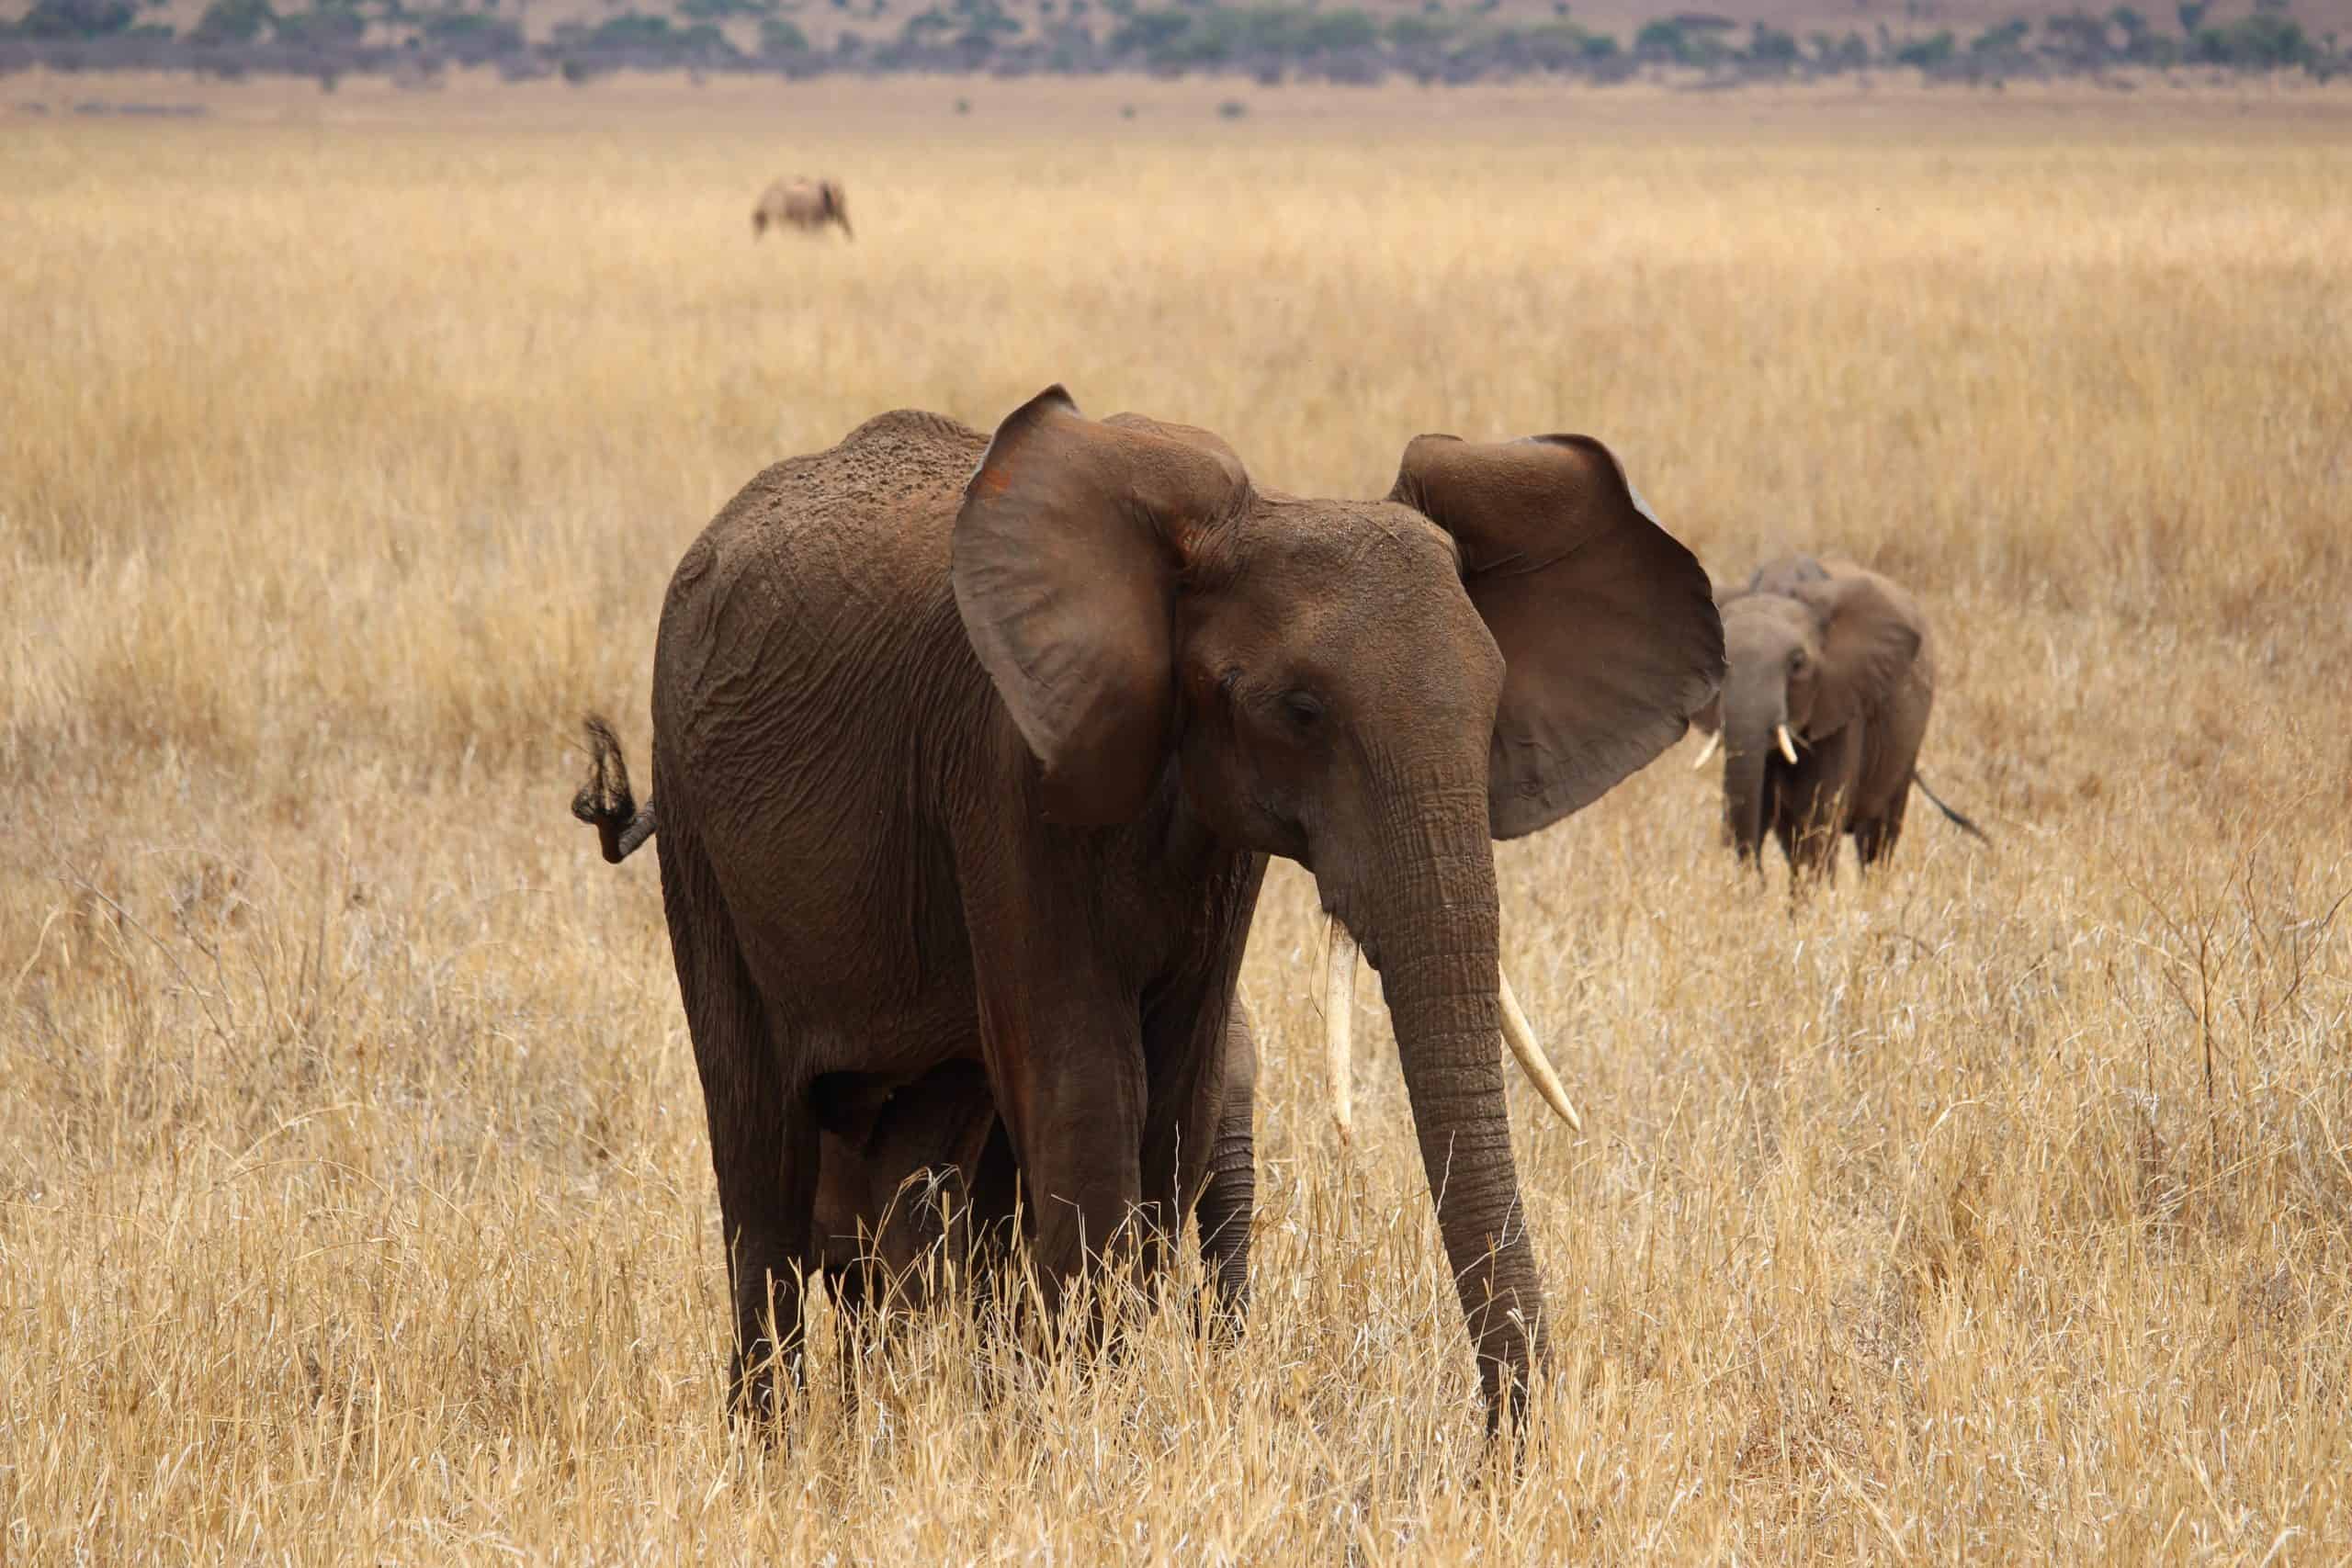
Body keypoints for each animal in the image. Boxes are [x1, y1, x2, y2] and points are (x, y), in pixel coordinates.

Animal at [571, 386, 1722, 1429]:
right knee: (759, 1150)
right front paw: (1082, 1434)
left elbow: (1176, 1090)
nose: (1500, 1454)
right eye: (1299, 710)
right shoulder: (1003, 764)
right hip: (697, 819)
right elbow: (1089, 1083)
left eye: (1491, 712)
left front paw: (1081, 1410)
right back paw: (770, 1448)